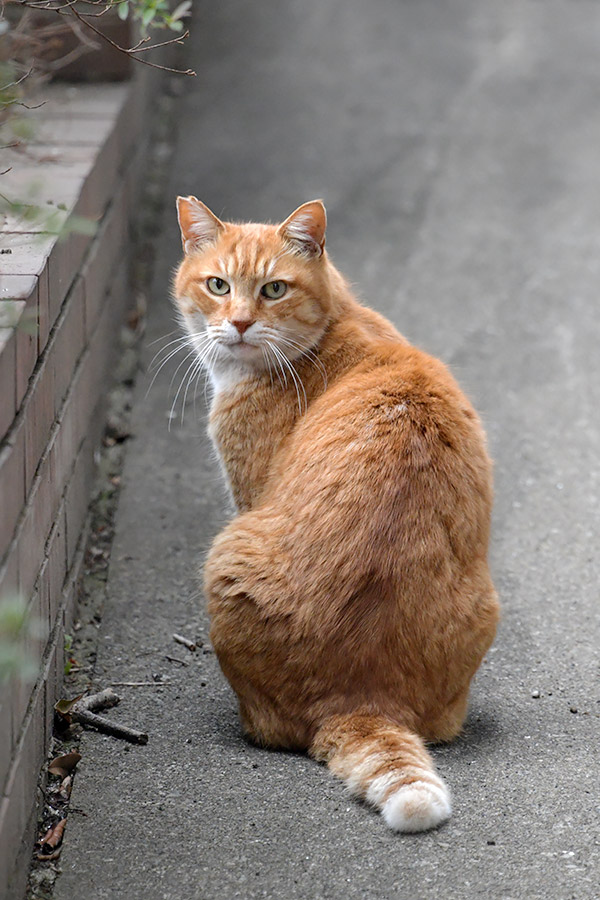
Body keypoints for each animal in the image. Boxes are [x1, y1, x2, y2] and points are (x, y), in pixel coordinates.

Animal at [172, 195, 496, 828]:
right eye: (218, 285)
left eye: (273, 289)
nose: (239, 324)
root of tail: (362, 698)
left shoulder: (247, 493)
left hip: (226, 555)